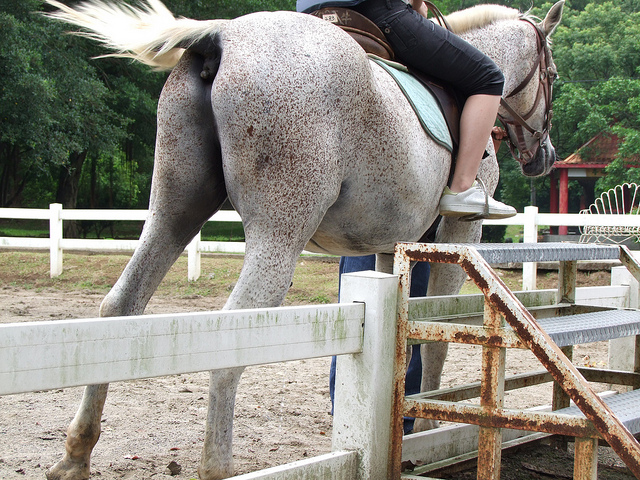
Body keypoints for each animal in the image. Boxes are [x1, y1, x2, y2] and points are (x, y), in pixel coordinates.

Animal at [43, 1, 564, 479]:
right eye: (552, 75)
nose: (545, 156)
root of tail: (222, 36)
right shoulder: (459, 233)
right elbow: (440, 333)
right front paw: (436, 428)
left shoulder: (387, 243)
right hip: (279, 233)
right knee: (229, 335)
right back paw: (216, 466)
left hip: (174, 213)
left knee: (119, 307)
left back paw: (75, 455)